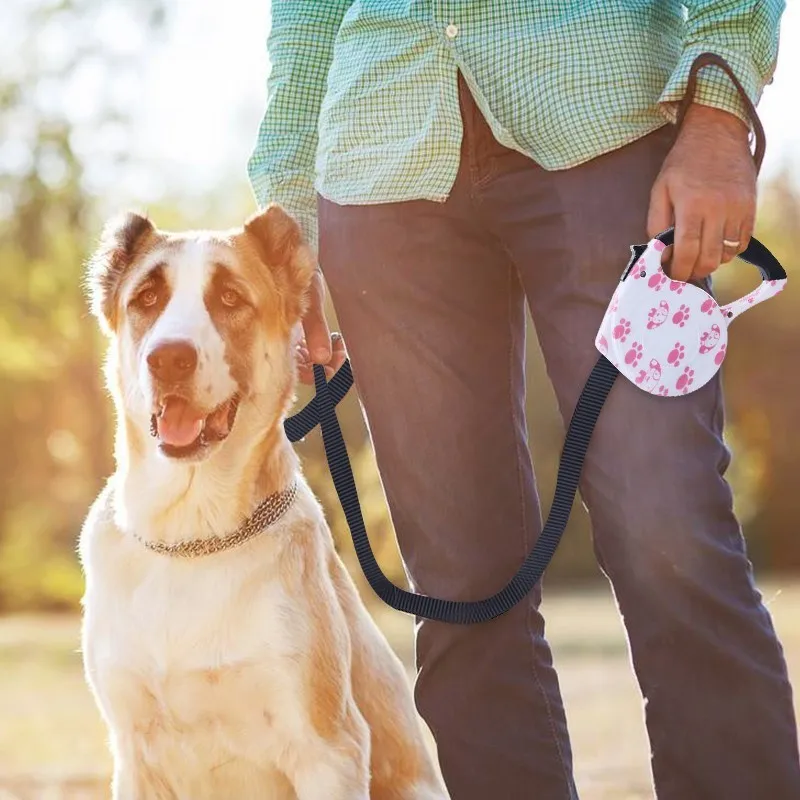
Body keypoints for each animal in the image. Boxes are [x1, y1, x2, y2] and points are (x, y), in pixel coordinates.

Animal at [80, 208, 450, 800]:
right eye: (147, 298)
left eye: (230, 298)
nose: (169, 358)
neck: (191, 536)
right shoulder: (134, 757)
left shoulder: (328, 749)